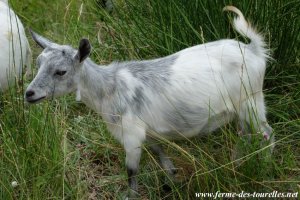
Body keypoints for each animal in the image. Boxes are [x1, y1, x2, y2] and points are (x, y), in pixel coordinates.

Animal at [25, 5, 274, 197]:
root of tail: (253, 49)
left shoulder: (131, 135)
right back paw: (237, 164)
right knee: (245, 134)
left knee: (266, 133)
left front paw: (131, 195)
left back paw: (265, 166)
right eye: (38, 63)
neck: (109, 87)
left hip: (252, 101)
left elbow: (131, 170)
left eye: (61, 71)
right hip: (242, 108)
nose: (29, 93)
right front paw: (172, 178)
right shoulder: (149, 131)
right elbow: (160, 154)